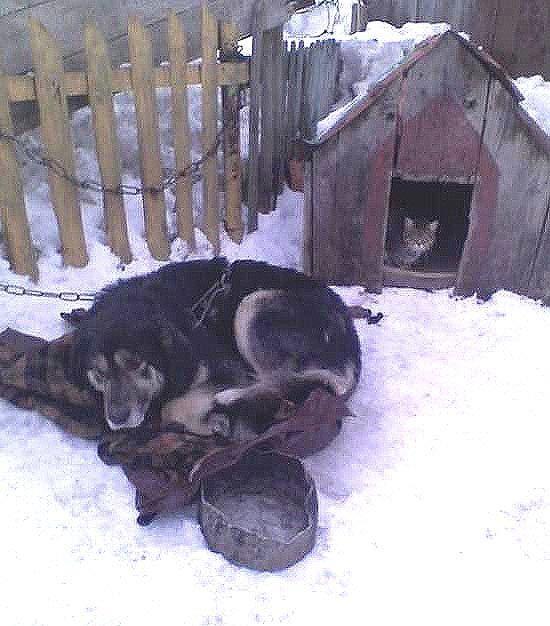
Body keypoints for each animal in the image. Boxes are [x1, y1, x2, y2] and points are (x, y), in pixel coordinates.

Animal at [69, 256, 362, 436]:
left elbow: (170, 407)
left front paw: (211, 423)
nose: (117, 420)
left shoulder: (227, 368)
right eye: (99, 373)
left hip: (253, 304)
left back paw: (230, 397)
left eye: (136, 363)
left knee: (282, 380)